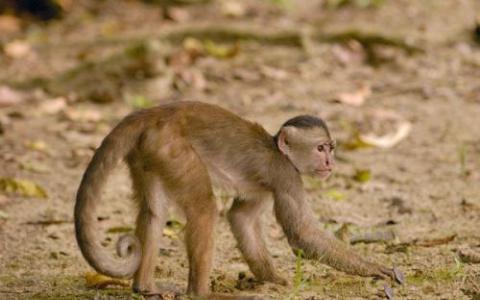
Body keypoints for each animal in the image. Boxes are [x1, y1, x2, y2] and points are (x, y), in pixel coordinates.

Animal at [75, 101, 400, 298]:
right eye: (320, 148)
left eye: (331, 148)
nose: (330, 163)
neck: (280, 152)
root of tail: (155, 112)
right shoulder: (285, 175)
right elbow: (302, 235)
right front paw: (374, 268)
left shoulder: (267, 185)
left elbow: (241, 219)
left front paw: (273, 280)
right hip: (170, 147)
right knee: (205, 209)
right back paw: (201, 293)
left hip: (149, 152)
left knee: (154, 211)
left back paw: (144, 287)